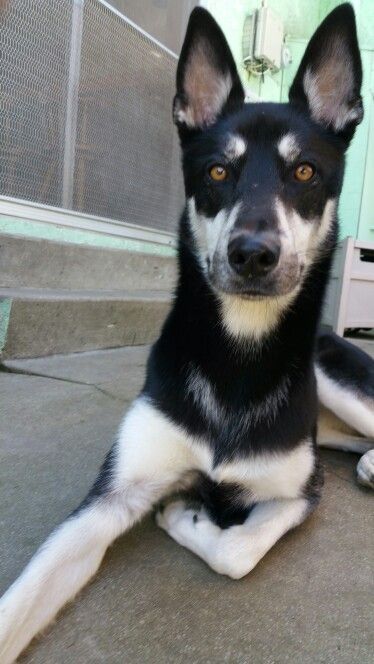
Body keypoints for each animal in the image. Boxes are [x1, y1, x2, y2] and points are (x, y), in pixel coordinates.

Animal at [0, 3, 374, 660]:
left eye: (304, 170)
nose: (253, 254)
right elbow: (25, 594)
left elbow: (237, 550)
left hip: (335, 376)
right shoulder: (111, 497)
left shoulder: (300, 492)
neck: (237, 356)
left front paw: (184, 516)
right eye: (217, 170)